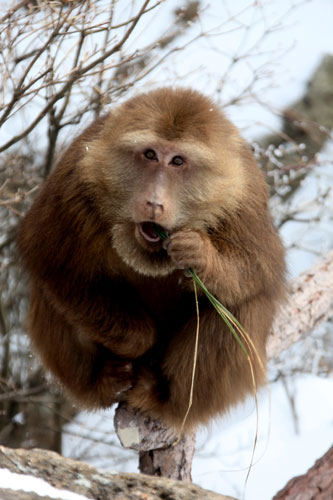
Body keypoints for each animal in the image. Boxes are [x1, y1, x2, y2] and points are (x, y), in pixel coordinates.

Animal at [17, 87, 286, 430]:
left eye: (178, 161)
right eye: (149, 155)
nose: (154, 202)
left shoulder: (245, 195)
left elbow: (261, 269)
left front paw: (201, 257)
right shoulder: (74, 181)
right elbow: (52, 264)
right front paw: (139, 342)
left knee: (238, 305)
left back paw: (164, 398)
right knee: (49, 293)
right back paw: (104, 381)